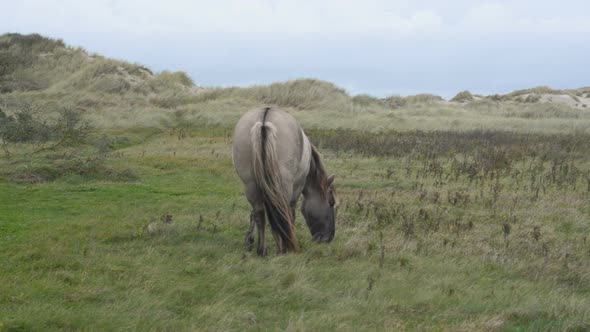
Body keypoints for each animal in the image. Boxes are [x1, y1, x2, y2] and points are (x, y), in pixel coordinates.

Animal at [235, 107, 340, 255]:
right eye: (331, 203)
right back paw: (282, 248)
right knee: (280, 212)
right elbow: (291, 214)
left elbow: (253, 214)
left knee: (260, 213)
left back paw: (262, 250)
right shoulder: (296, 189)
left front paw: (249, 240)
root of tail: (264, 120)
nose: (329, 237)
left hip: (250, 185)